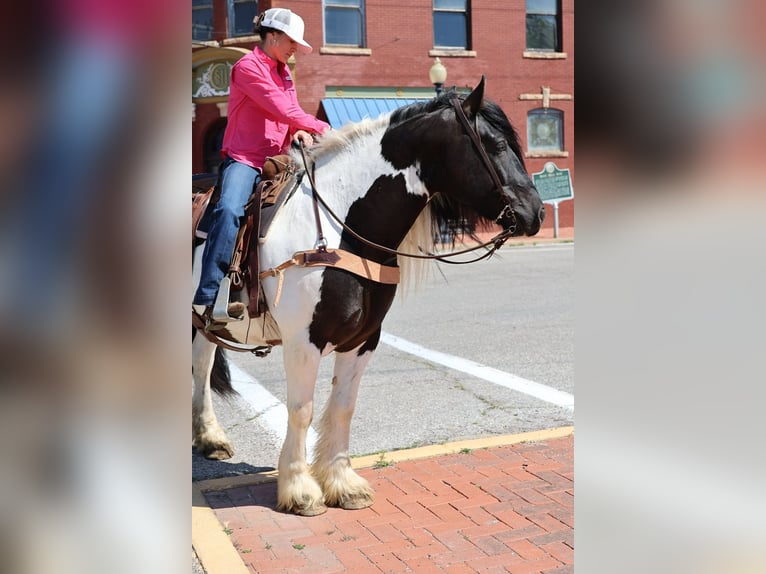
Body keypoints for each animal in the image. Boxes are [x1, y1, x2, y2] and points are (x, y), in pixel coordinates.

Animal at [192, 77, 545, 516]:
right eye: (494, 144)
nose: (536, 212)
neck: (339, 226)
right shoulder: (303, 340)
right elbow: (302, 409)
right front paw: (299, 489)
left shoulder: (363, 339)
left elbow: (343, 406)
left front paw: (343, 484)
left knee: (202, 365)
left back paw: (209, 438)